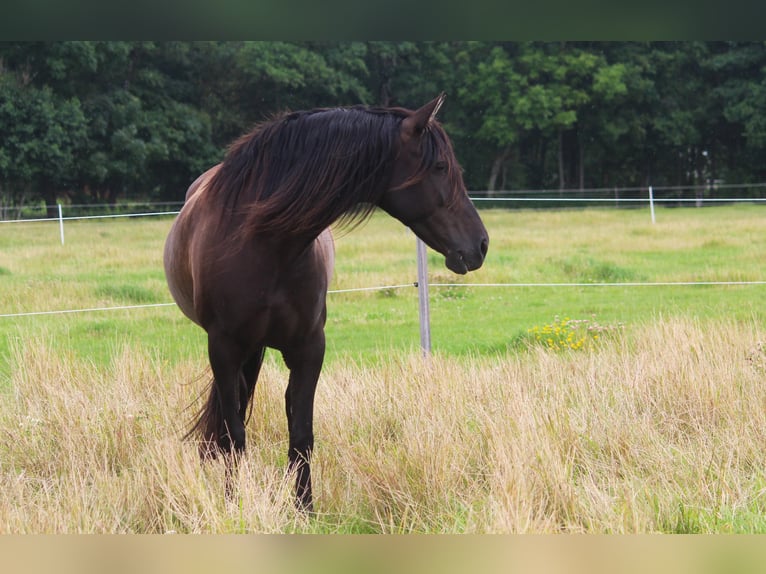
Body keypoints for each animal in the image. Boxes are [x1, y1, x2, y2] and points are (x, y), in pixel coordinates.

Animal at [164, 94, 488, 512]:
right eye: (440, 166)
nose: (481, 244)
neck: (264, 242)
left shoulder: (309, 348)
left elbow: (302, 434)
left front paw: (306, 510)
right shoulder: (223, 347)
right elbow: (233, 435)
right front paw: (236, 504)